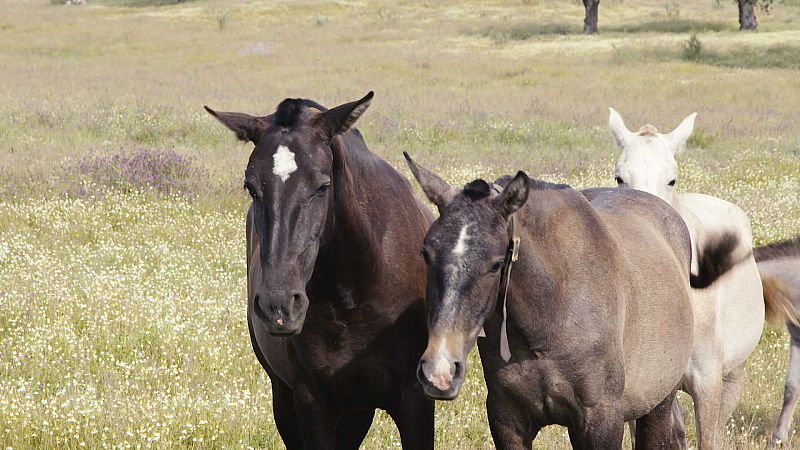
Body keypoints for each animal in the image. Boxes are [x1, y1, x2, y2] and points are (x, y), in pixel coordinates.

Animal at [403, 153, 732, 449]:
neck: (551, 312)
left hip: (658, 404)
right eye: (426, 253)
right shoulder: (507, 419)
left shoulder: (601, 420)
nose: (439, 371)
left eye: (496, 264)